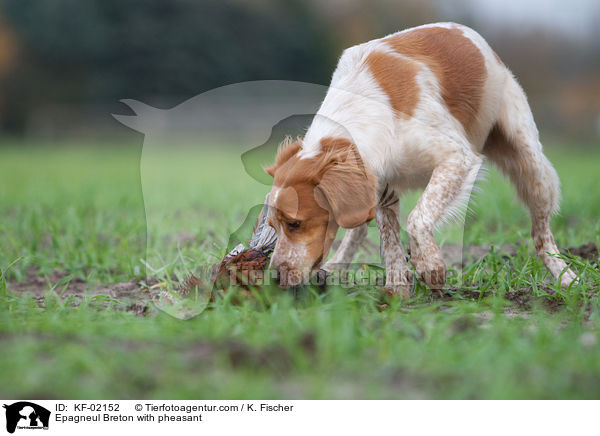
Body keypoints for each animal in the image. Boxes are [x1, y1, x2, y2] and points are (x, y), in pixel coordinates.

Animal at [264, 22, 576, 298]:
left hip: (530, 163)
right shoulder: (381, 186)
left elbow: (417, 219)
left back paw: (566, 277)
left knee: (541, 234)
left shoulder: (456, 157)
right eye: (272, 227)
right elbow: (389, 242)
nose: (275, 277)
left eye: (295, 224)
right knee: (359, 231)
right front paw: (397, 290)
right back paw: (335, 268)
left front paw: (431, 267)